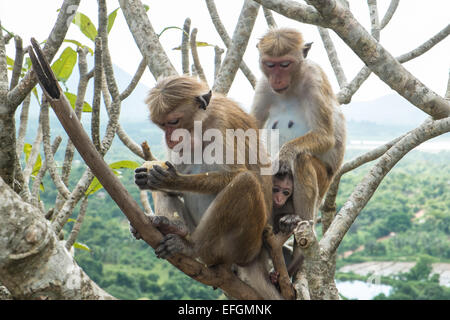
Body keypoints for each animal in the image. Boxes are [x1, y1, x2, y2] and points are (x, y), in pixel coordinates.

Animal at [133, 75, 284, 300]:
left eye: (173, 122)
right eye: (162, 126)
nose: (170, 139)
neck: (203, 123)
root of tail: (258, 256)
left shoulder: (221, 125)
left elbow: (236, 173)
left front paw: (170, 180)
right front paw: (149, 172)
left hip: (242, 246)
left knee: (245, 182)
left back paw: (193, 249)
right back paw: (172, 226)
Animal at [251, 28, 346, 276]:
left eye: (285, 64)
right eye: (270, 64)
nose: (277, 79)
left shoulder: (315, 79)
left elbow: (325, 135)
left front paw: (284, 156)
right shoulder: (263, 85)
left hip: (324, 180)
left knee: (303, 160)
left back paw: (298, 251)